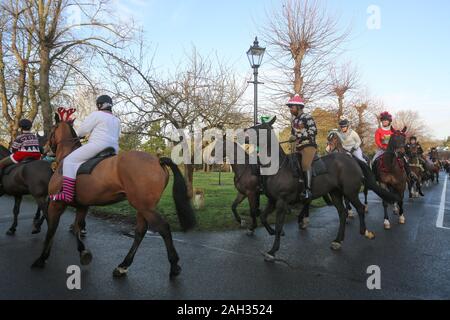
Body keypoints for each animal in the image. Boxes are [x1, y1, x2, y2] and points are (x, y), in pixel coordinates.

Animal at [29, 117, 195, 280]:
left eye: (51, 130)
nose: (44, 149)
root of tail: (157, 160)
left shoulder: (56, 204)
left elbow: (52, 229)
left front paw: (42, 258)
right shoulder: (82, 206)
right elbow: (77, 227)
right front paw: (83, 252)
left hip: (145, 207)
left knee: (163, 228)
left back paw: (174, 265)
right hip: (143, 207)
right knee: (140, 232)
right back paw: (123, 266)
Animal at [246, 117, 398, 260]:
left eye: (260, 128)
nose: (245, 134)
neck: (278, 167)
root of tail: (352, 160)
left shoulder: (282, 202)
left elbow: (278, 226)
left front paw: (272, 251)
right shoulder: (272, 200)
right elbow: (263, 217)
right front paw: (271, 232)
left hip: (350, 192)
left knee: (360, 208)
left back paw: (366, 232)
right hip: (335, 193)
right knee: (342, 213)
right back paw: (338, 240)